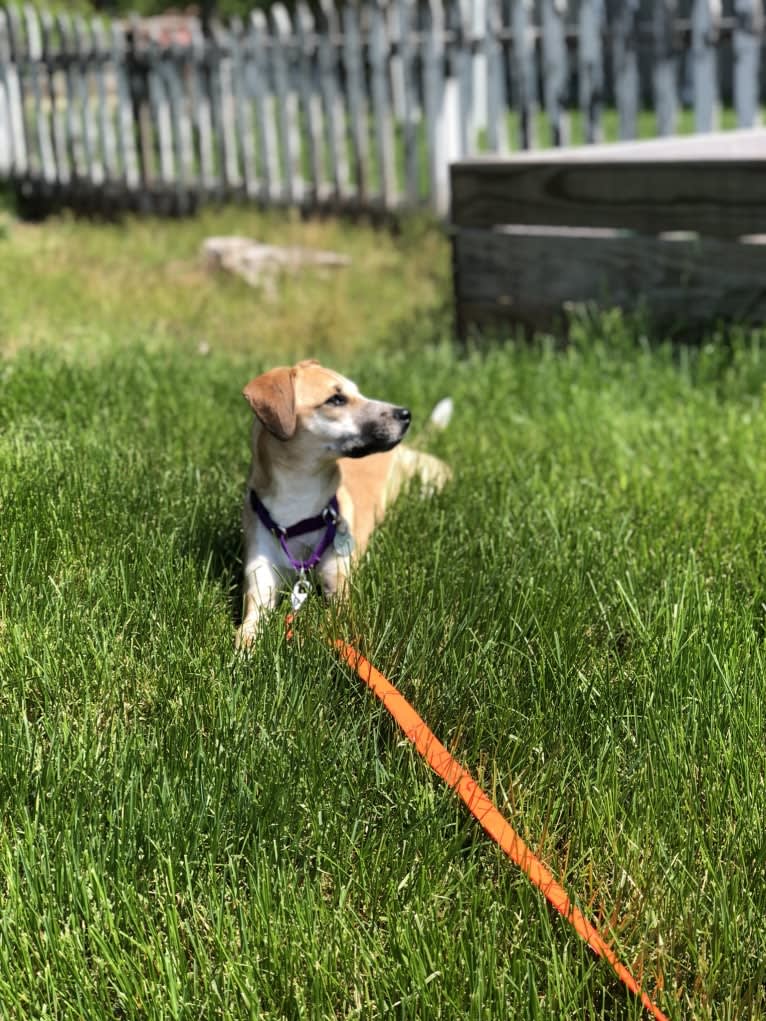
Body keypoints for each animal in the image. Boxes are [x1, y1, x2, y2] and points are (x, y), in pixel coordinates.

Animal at [238, 361, 449, 645]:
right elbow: (248, 626)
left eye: (357, 392)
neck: (299, 513)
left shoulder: (338, 585)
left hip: (428, 470)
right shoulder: (261, 578)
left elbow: (330, 621)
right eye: (336, 399)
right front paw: (244, 649)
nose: (405, 414)